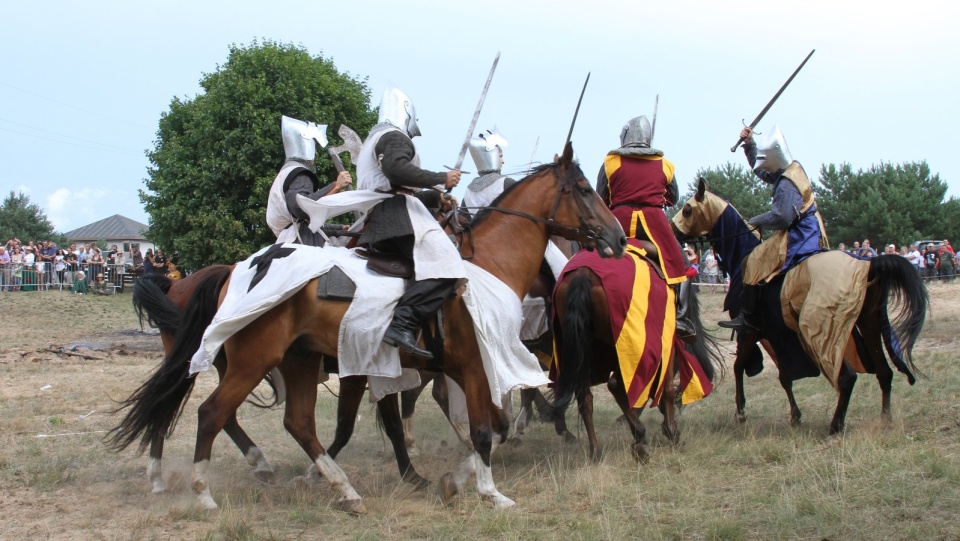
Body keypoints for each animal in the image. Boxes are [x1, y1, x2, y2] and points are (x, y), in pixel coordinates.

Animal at [109, 142, 628, 510]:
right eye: (584, 190)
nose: (618, 238)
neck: (487, 264)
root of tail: (235, 270)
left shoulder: (443, 371)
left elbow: (488, 428)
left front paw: (454, 480)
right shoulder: (471, 368)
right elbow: (481, 429)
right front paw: (487, 491)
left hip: (297, 362)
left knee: (296, 422)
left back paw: (343, 490)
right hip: (252, 361)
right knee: (211, 413)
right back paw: (204, 491)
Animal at [548, 239, 720, 460]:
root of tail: (582, 275)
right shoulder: (665, 345)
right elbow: (666, 388)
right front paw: (671, 431)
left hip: (582, 354)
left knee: (585, 397)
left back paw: (596, 451)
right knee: (615, 385)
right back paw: (640, 436)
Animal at [672, 179, 928, 432]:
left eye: (687, 209)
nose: (673, 232)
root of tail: (869, 264)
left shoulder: (750, 332)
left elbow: (739, 366)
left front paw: (741, 412)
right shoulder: (777, 336)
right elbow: (785, 376)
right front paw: (795, 416)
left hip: (821, 332)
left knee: (847, 377)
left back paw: (836, 426)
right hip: (871, 323)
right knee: (884, 372)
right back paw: (885, 419)